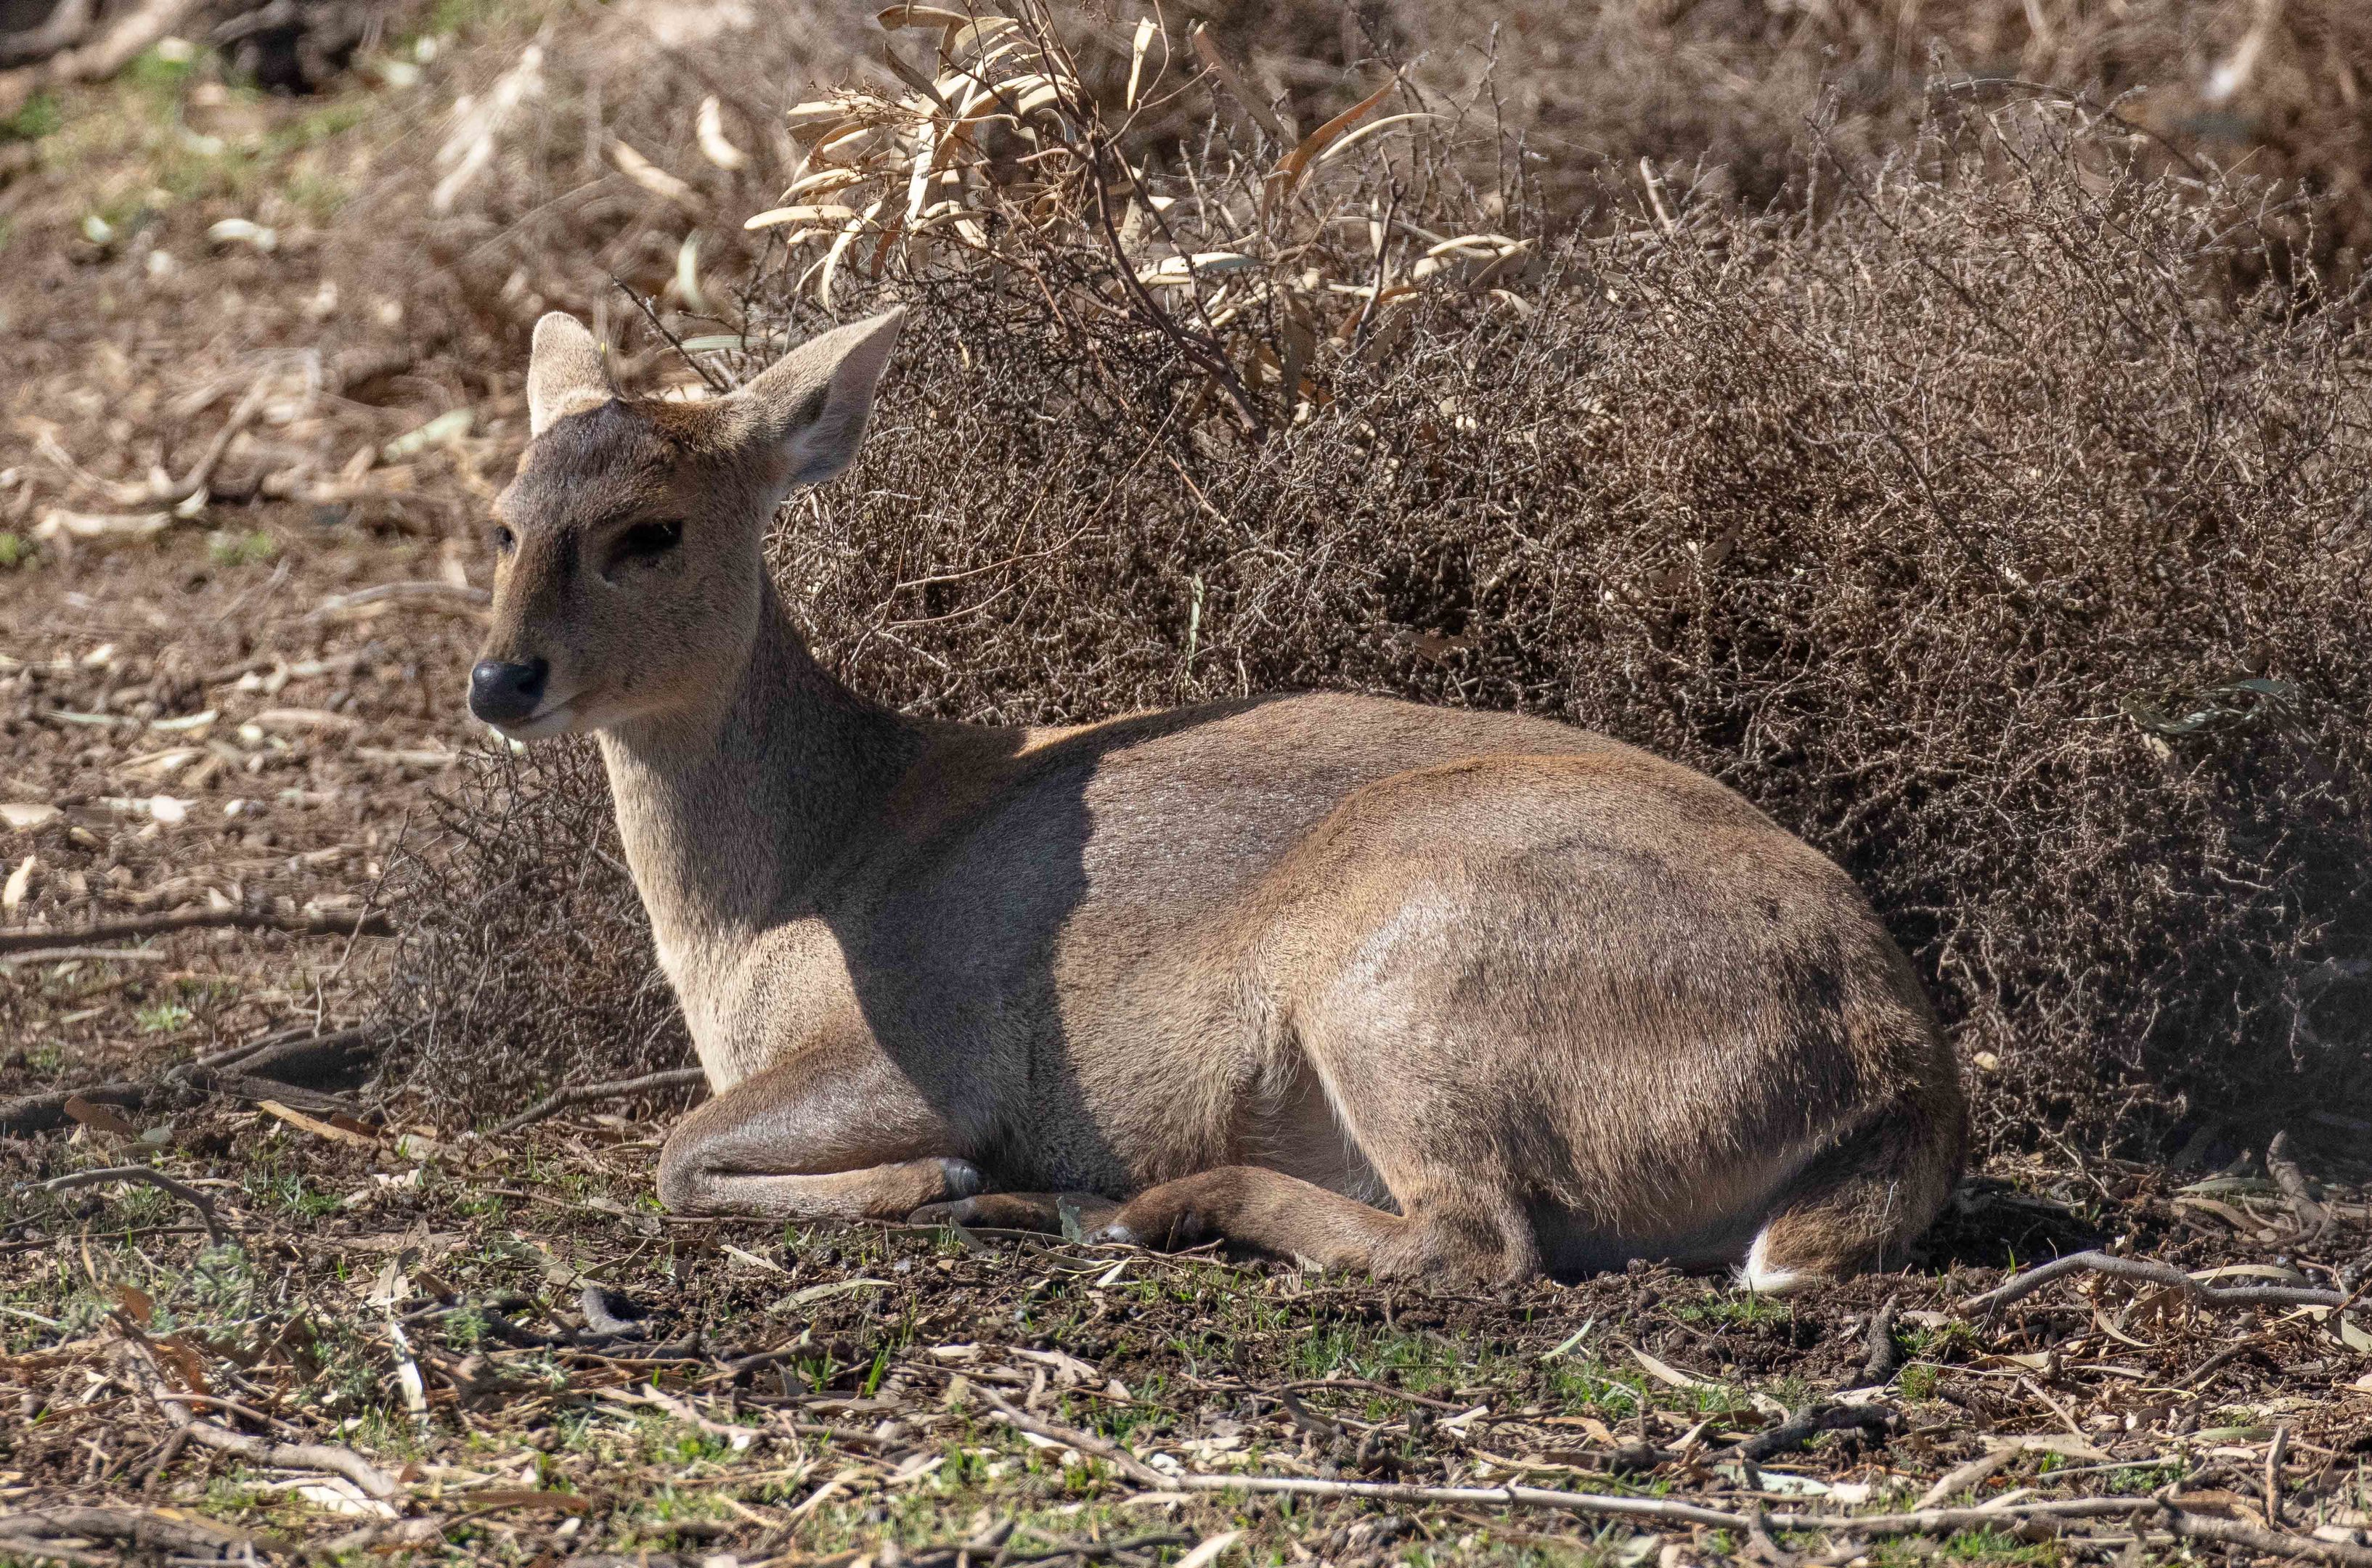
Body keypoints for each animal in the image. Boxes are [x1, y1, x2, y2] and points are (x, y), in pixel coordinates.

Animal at [466, 306, 1967, 1289]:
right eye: (503, 518)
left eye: (651, 531)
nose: (500, 678)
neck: (788, 891)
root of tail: (1899, 1072)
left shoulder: (934, 1047)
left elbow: (677, 1154)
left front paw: (941, 1183)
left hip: (1396, 981)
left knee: (1473, 1245)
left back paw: (1124, 1208)